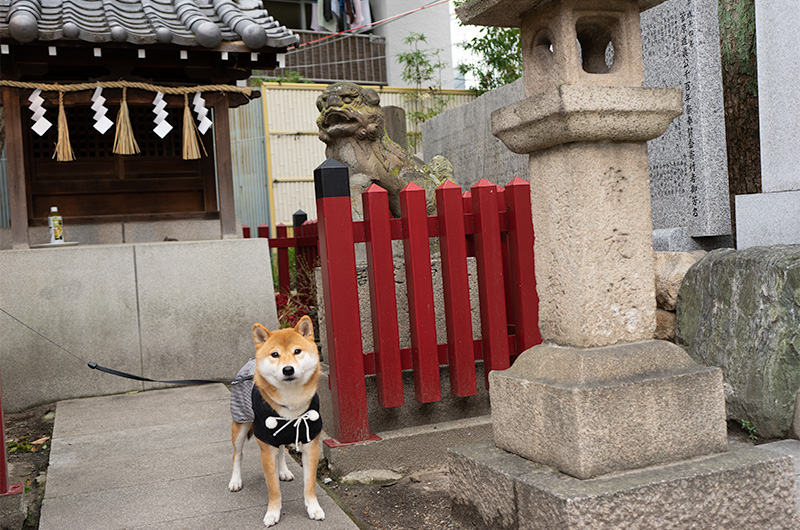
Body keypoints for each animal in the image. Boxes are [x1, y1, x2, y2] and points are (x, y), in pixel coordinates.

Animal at [227, 314, 324, 524]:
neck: (292, 402)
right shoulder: (265, 444)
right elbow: (273, 488)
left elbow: (310, 484)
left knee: (281, 451)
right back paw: (235, 480)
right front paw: (272, 513)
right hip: (241, 424)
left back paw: (284, 471)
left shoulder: (311, 443)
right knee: (237, 454)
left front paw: (313, 508)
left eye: (297, 351)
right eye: (275, 354)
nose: (288, 369)